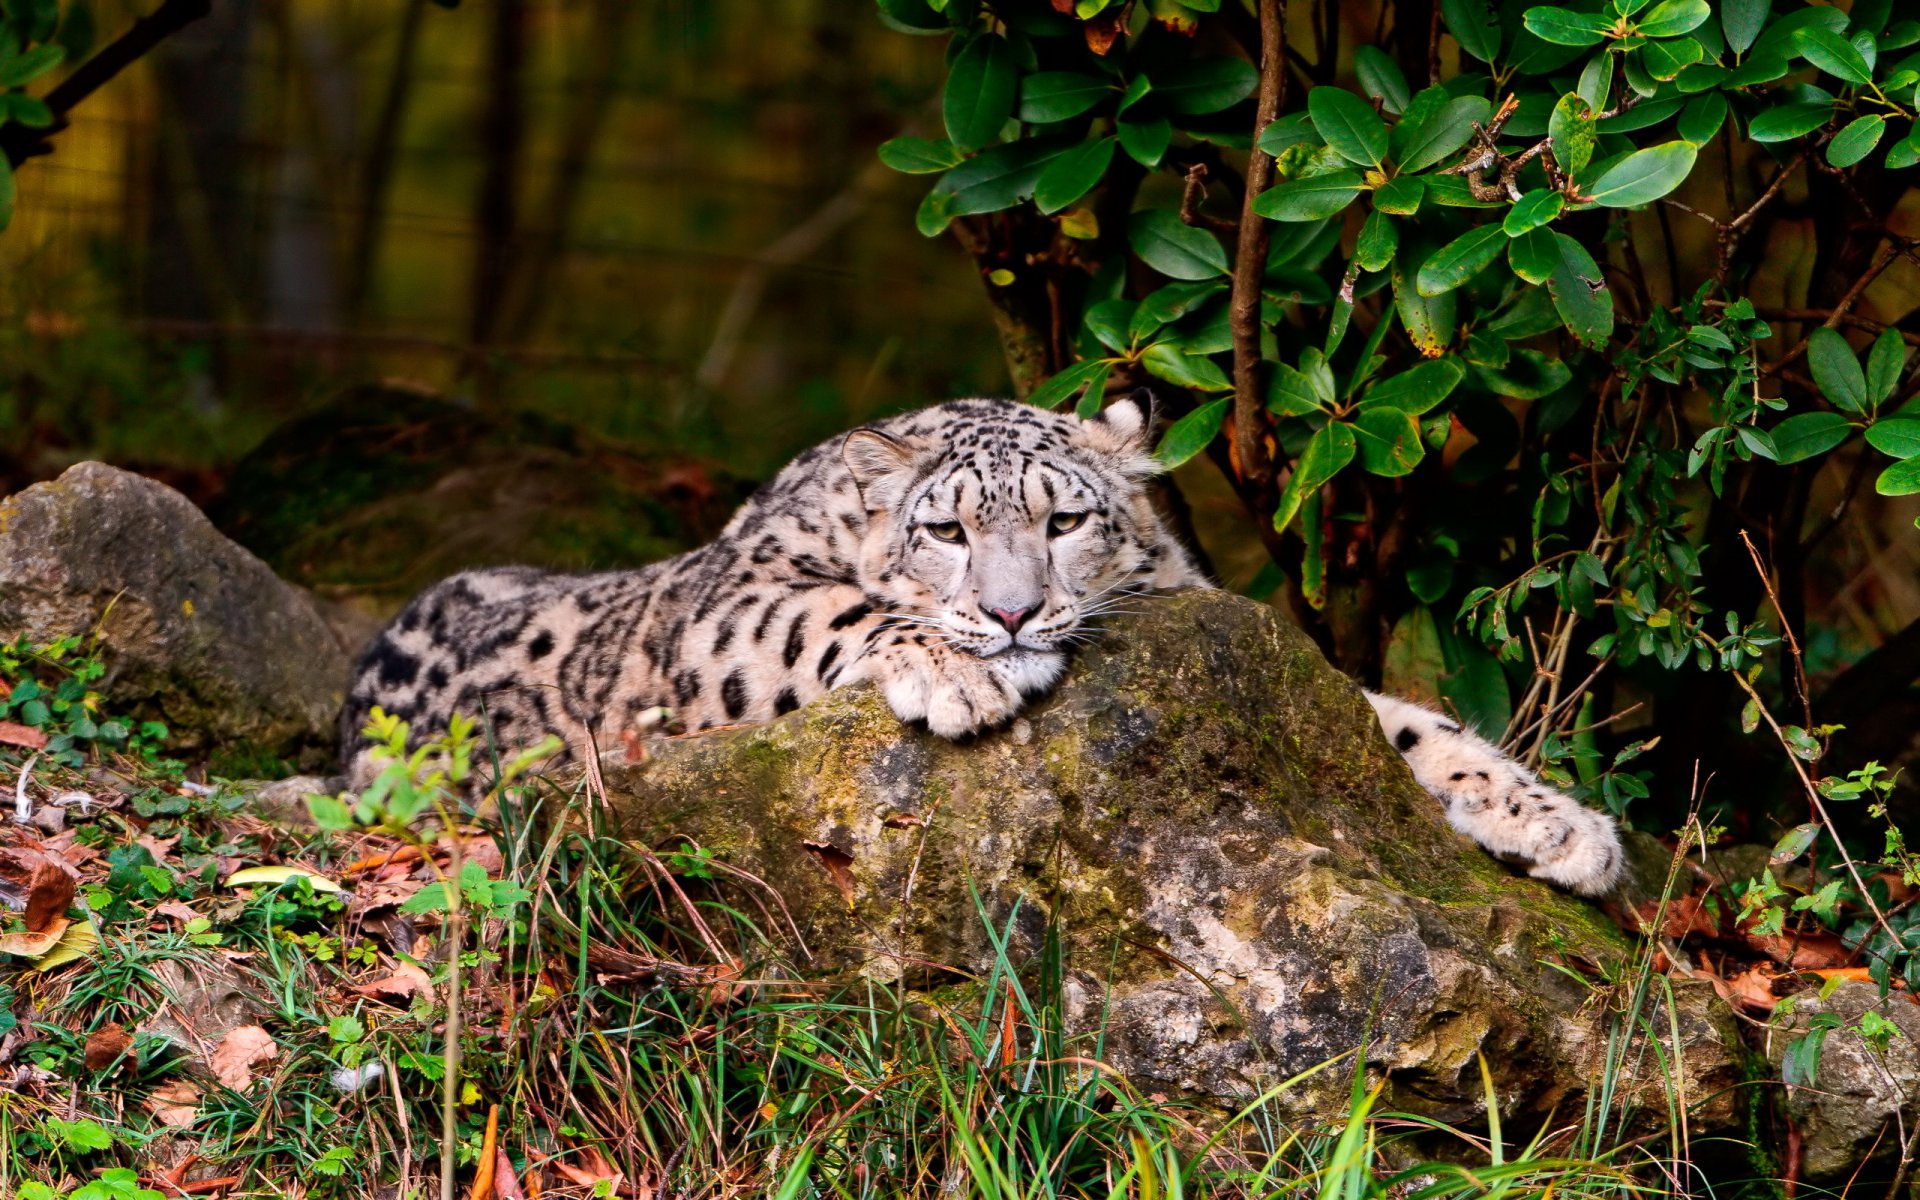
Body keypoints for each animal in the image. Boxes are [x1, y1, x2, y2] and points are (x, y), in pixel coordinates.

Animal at [341, 397, 1620, 894]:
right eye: (947, 530)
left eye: (1064, 522)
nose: (1009, 613)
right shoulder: (722, 607)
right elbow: (825, 614)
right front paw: (962, 673)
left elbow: (1396, 723)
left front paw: (1562, 825)